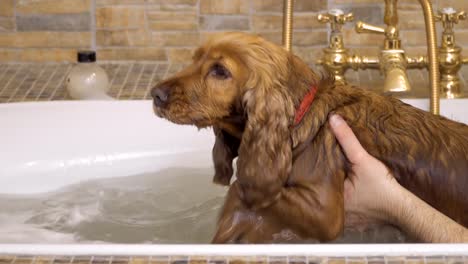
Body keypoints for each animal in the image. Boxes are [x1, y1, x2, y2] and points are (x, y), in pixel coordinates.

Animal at [153, 31, 468, 243]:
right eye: (194, 59)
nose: (155, 95)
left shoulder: (325, 212)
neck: (302, 115)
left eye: (220, 71)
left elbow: (240, 190)